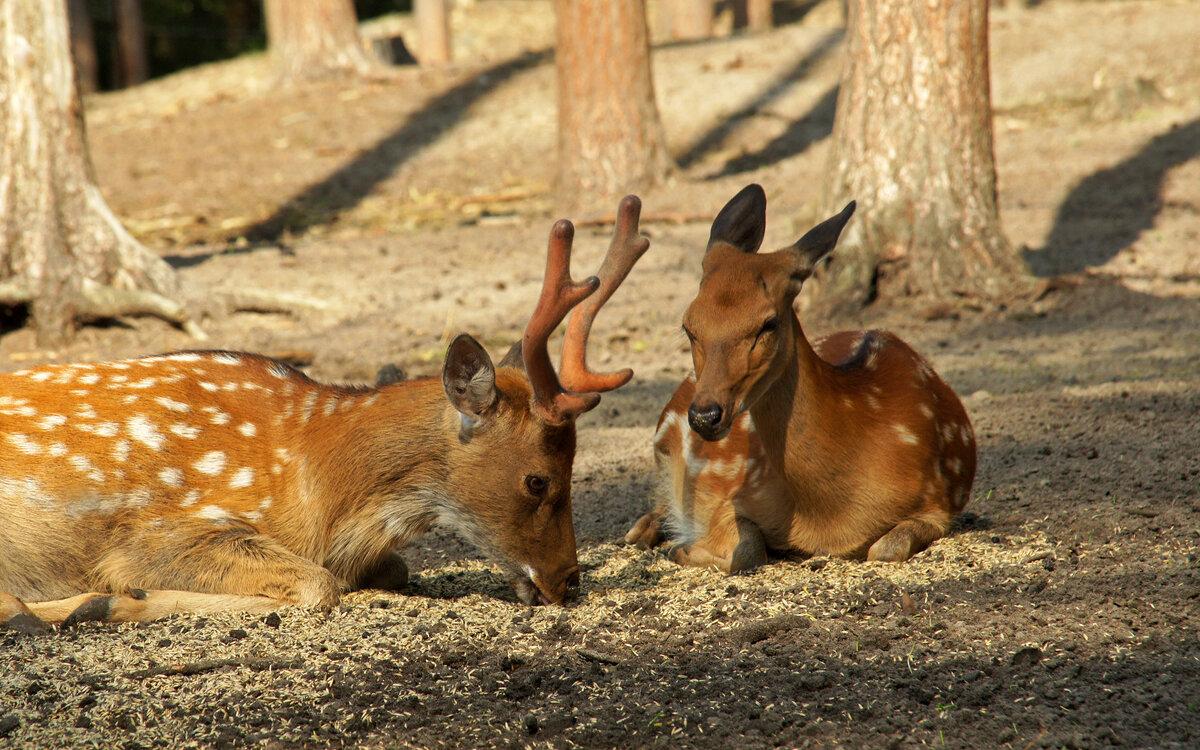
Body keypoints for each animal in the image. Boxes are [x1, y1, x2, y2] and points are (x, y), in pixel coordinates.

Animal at [0, 195, 652, 628]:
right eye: (537, 480)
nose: (568, 582)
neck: (319, 492)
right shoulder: (161, 529)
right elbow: (318, 585)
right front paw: (117, 597)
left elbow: (388, 570)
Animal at [624, 184, 979, 571]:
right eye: (689, 325)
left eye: (768, 323)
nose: (705, 415)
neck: (829, 516)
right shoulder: (736, 496)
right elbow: (747, 548)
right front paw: (683, 548)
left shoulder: (939, 505)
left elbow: (886, 548)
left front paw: (682, 548)